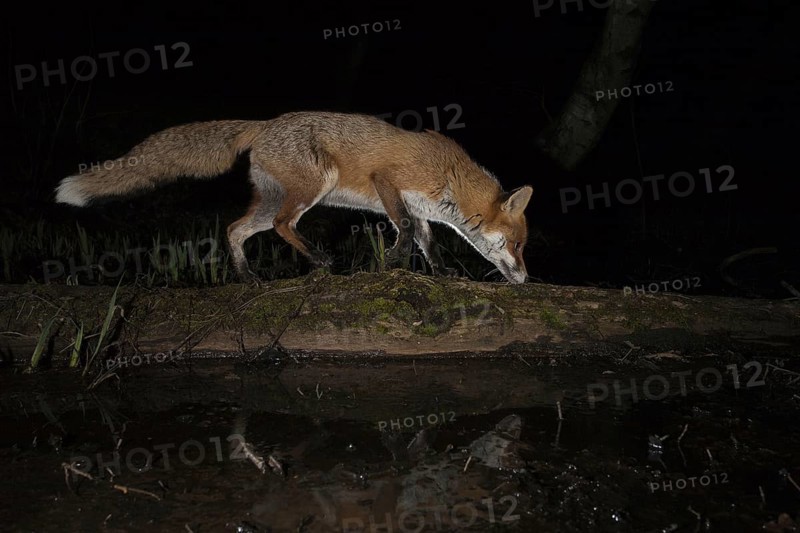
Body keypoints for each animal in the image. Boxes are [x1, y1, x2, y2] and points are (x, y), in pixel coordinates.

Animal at [54, 111, 533, 284]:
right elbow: (403, 228)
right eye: (518, 245)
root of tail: (264, 123)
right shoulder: (388, 181)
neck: (449, 177)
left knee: (235, 229)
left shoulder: (420, 208)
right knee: (283, 225)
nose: (527, 279)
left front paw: (440, 271)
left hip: (270, 201)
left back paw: (246, 277)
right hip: (312, 187)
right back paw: (319, 261)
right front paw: (394, 261)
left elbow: (426, 239)